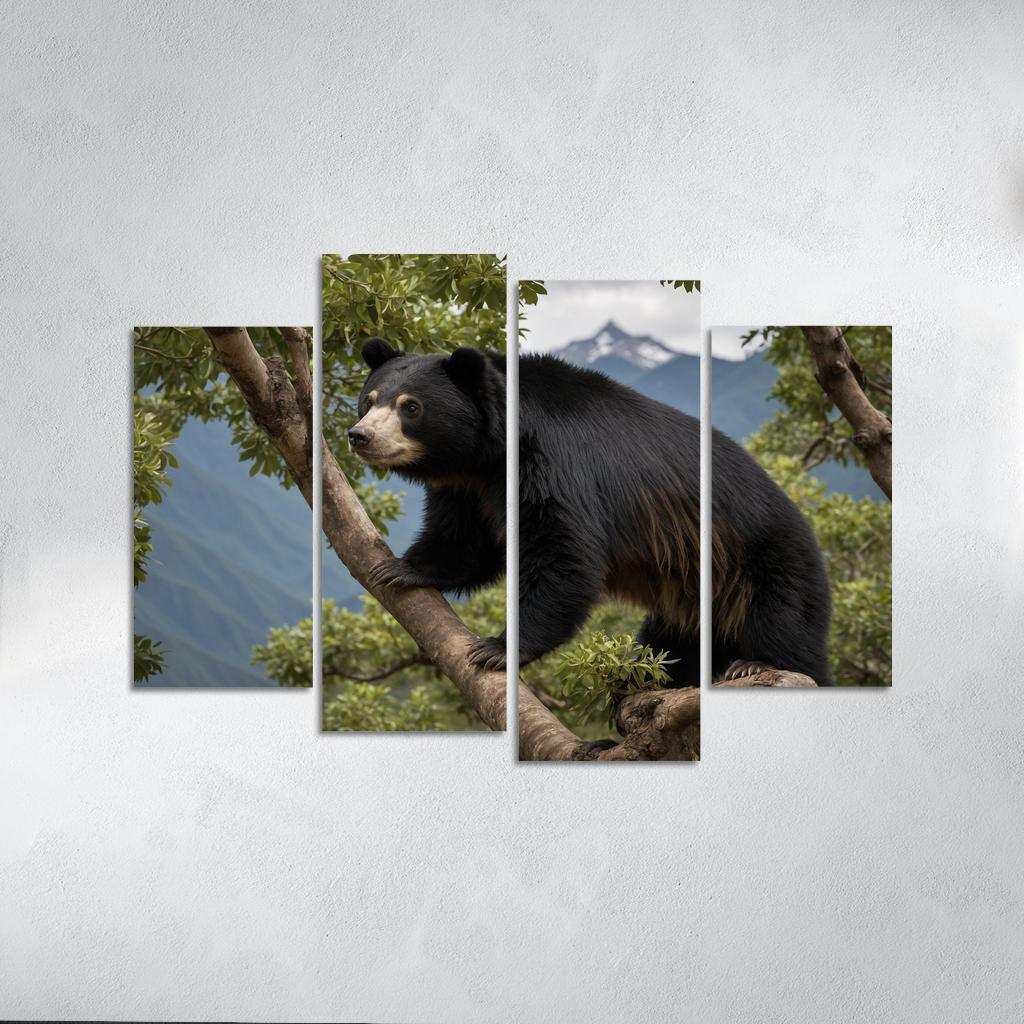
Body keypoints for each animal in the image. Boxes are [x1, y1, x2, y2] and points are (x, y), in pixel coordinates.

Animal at [350, 339, 833, 687]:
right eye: (369, 399)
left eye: (411, 406)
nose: (359, 436)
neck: (490, 454)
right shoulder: (468, 485)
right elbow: (467, 539)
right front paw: (400, 568)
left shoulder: (554, 461)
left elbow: (563, 553)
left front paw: (497, 649)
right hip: (690, 594)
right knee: (675, 645)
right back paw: (642, 679)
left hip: (761, 561)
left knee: (788, 626)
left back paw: (755, 664)